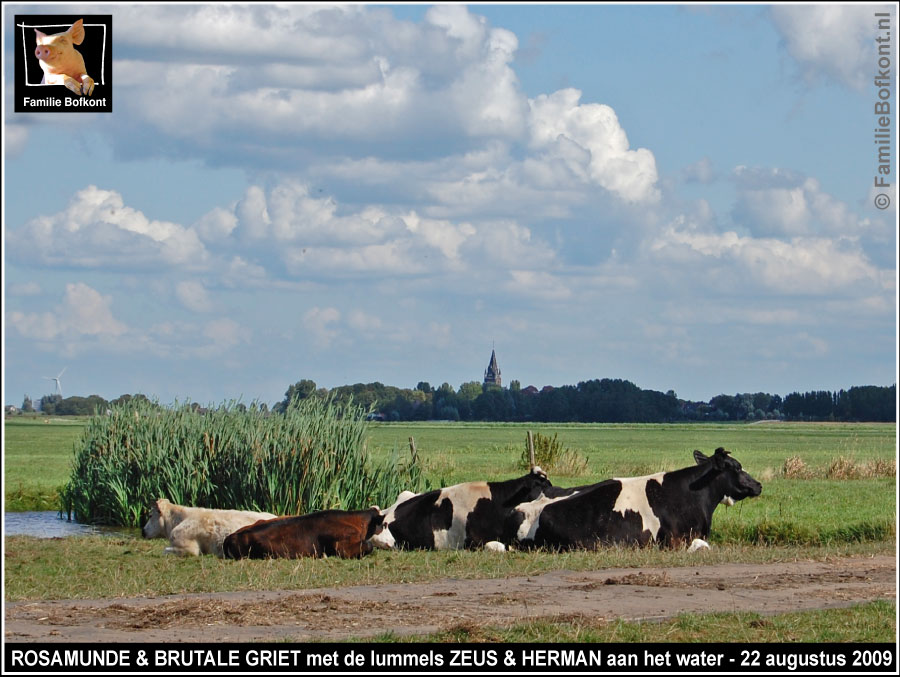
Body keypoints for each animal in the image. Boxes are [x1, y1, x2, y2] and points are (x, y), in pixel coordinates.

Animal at [370, 468, 552, 552]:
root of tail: (383, 512)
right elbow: (495, 546)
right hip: (384, 540)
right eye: (543, 486)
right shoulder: (474, 541)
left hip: (405, 493)